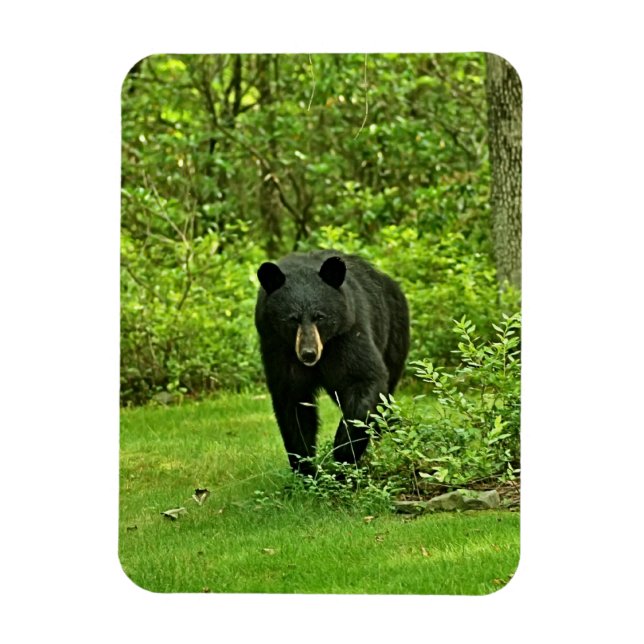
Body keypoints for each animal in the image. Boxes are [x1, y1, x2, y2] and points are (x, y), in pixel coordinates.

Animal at [255, 250, 410, 475]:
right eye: (292, 319)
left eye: (320, 317)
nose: (308, 354)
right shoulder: (278, 348)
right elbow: (292, 401)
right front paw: (306, 468)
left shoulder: (348, 334)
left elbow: (364, 378)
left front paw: (343, 452)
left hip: (394, 334)